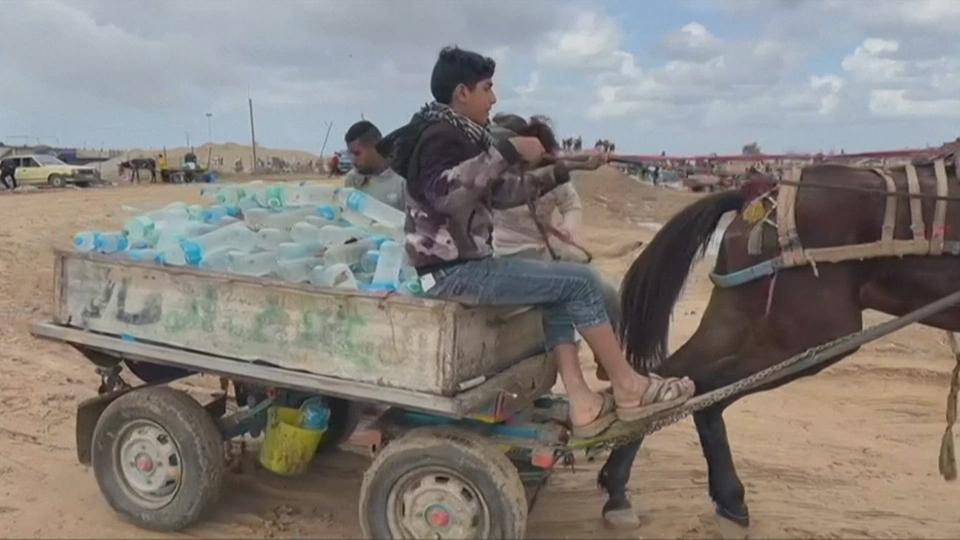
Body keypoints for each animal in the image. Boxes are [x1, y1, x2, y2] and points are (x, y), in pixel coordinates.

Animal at [596, 155, 960, 528]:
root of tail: (757, 195)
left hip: (740, 318)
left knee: (675, 378)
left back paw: (636, 487)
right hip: (807, 334)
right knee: (705, 388)